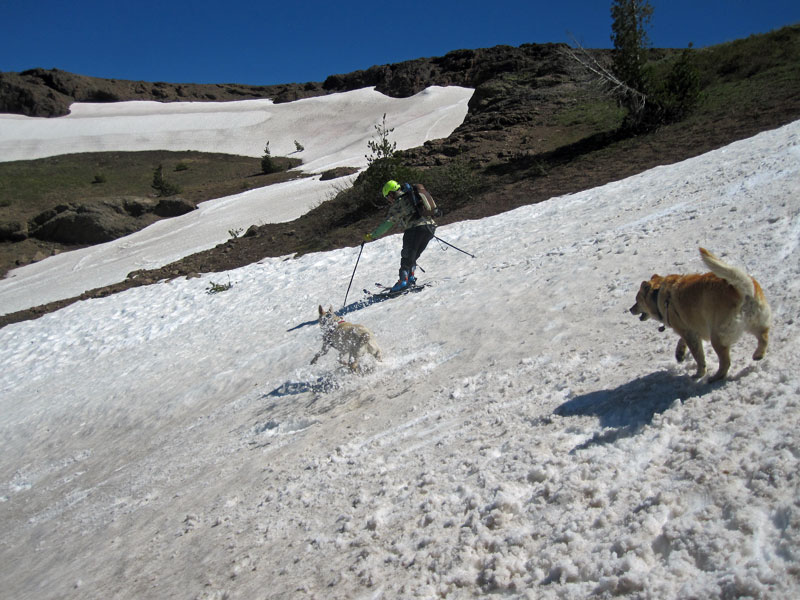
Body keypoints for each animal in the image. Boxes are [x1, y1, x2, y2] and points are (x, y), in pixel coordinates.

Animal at [628, 247, 772, 380]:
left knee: (725, 362)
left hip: (718, 336)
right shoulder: (690, 330)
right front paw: (679, 354)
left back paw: (715, 377)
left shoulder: (689, 333)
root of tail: (743, 289)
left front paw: (699, 374)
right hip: (756, 322)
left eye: (637, 300)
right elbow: (682, 341)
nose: (630, 309)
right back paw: (758, 354)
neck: (658, 295)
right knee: (763, 337)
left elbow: (699, 357)